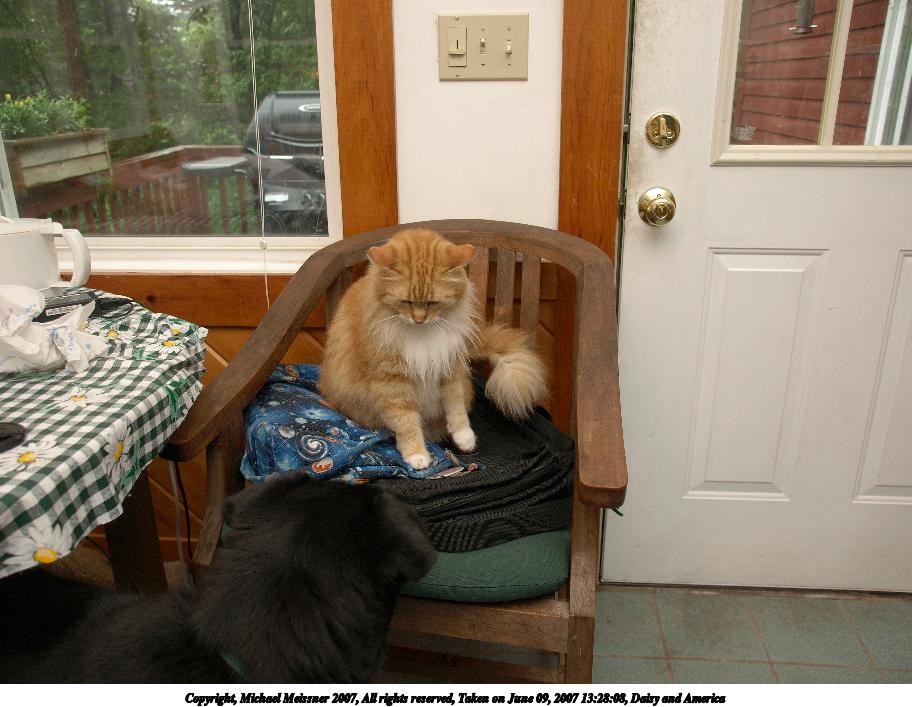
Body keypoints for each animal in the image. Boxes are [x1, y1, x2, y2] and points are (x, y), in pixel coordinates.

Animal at [319, 227, 546, 470]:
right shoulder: (391, 380)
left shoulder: (449, 366)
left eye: (433, 303)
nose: (419, 320)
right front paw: (417, 455)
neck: (422, 333)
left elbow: (455, 406)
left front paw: (463, 437)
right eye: (406, 301)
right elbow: (406, 421)